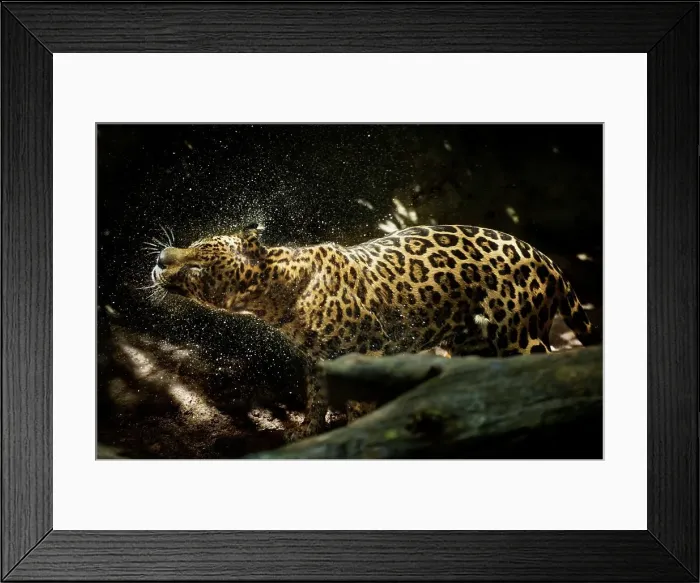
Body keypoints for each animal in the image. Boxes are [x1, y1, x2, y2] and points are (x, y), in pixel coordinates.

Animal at [151, 224, 600, 438]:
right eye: (195, 243)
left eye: (199, 266)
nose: (160, 258)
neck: (282, 296)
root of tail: (546, 258)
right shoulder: (317, 360)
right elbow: (316, 399)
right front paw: (306, 432)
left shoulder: (366, 353)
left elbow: (359, 406)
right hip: (471, 345)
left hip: (522, 337)